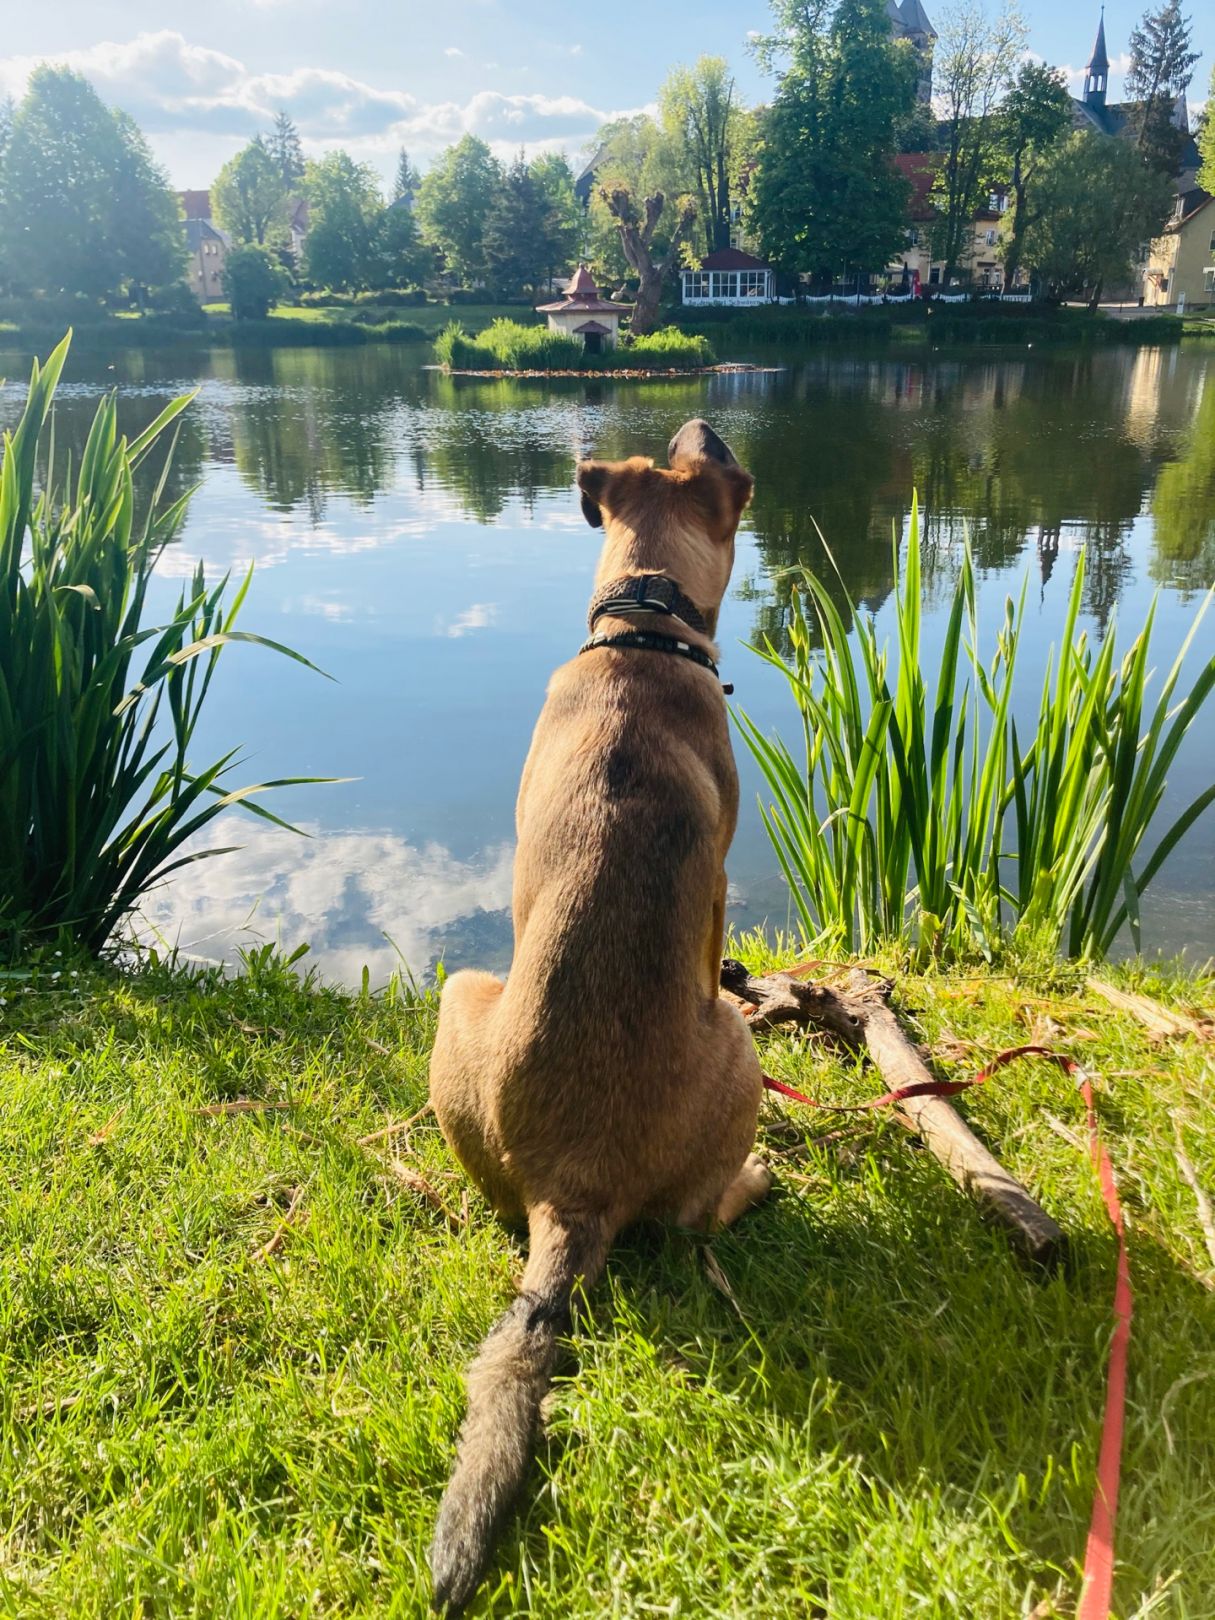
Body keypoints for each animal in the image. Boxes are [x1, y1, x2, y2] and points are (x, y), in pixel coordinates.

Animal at [427, 414, 771, 1607]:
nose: (707, 421)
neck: (641, 633)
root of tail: (574, 1193)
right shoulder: (720, 890)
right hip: (743, 1061)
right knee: (700, 1215)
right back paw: (758, 1183)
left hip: (458, 1000)